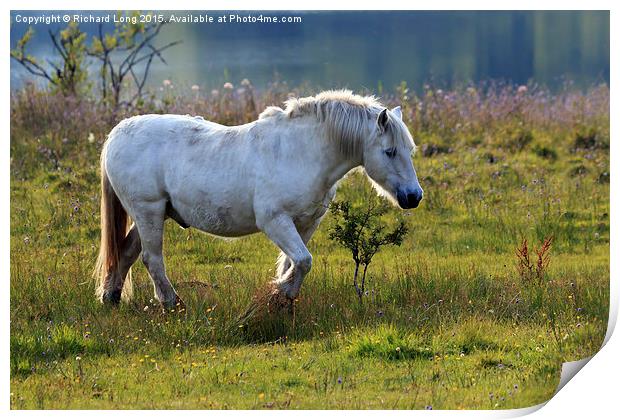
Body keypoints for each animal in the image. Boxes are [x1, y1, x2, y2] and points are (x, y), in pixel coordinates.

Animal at [94, 89, 424, 306]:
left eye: (409, 150)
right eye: (389, 151)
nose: (413, 197)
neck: (301, 152)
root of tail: (115, 134)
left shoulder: (306, 223)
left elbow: (293, 264)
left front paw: (282, 298)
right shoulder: (275, 221)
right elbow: (303, 261)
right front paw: (281, 293)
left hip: (152, 215)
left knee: (125, 254)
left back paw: (112, 299)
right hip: (148, 212)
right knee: (151, 259)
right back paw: (172, 303)